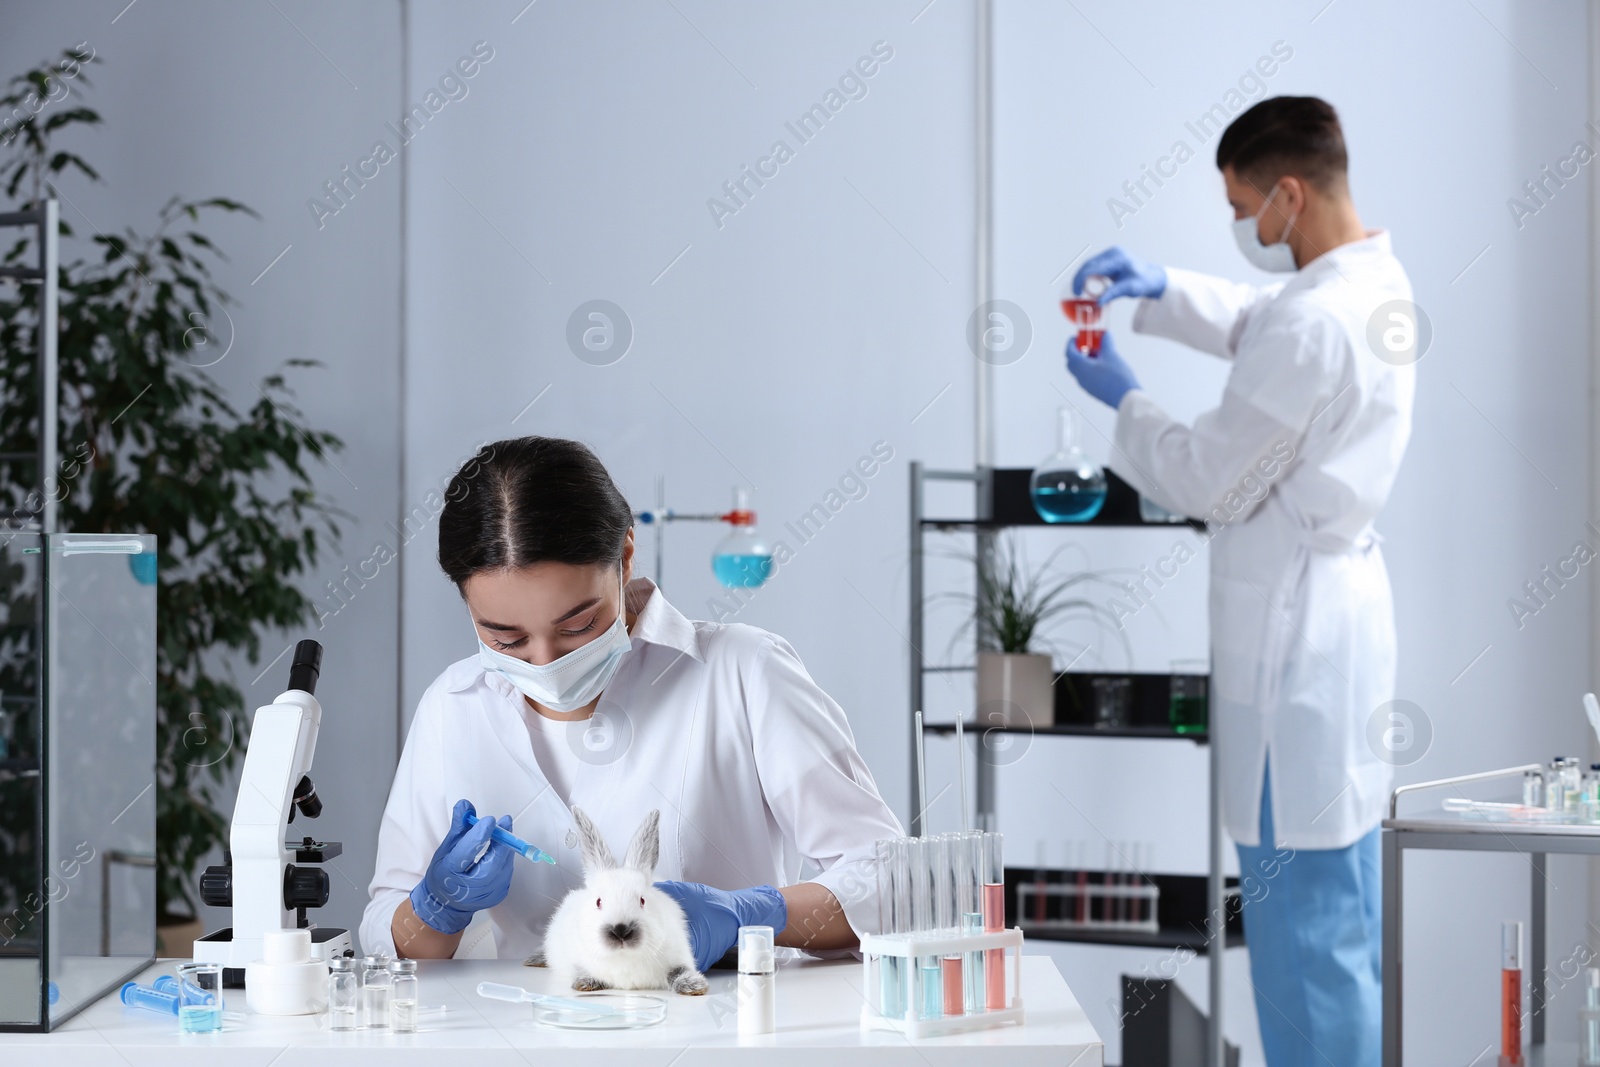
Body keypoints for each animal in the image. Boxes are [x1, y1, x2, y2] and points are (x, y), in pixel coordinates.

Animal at [528, 812, 710, 998]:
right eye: (598, 902)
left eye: (642, 900)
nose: (621, 931)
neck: (624, 957)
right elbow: (579, 968)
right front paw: (586, 982)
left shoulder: (679, 955)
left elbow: (678, 971)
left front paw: (694, 985)